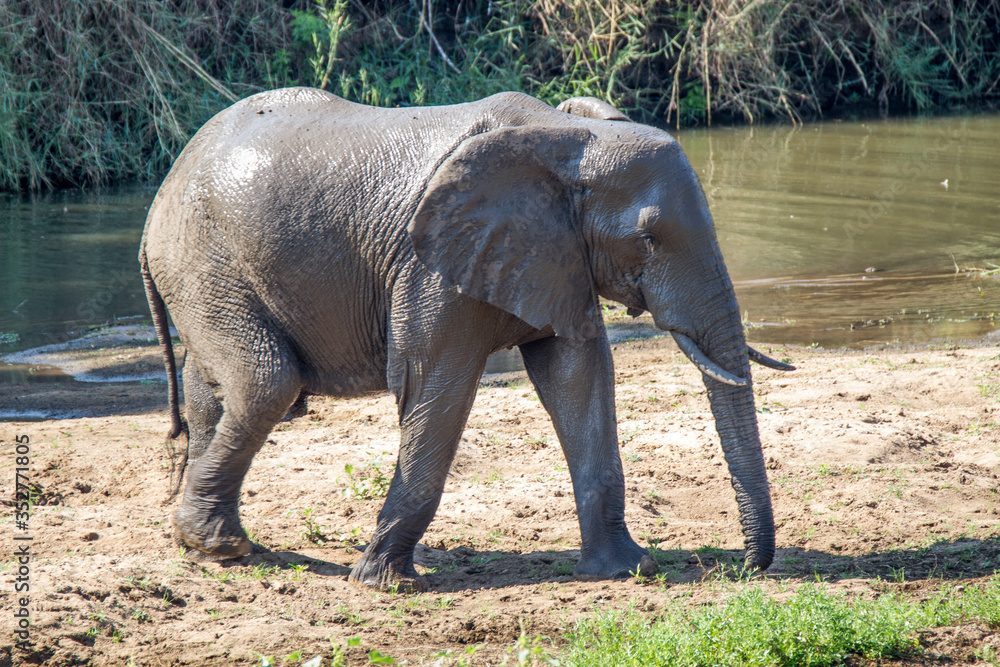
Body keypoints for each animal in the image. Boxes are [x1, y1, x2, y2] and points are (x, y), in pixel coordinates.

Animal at [143, 86, 796, 592]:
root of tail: (167, 181)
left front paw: (626, 570)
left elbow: (579, 379)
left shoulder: (557, 254)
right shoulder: (429, 264)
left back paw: (201, 543)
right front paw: (381, 582)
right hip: (203, 262)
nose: (745, 568)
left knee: (215, 392)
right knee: (267, 384)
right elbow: (438, 386)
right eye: (649, 239)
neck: (565, 135)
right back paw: (220, 545)